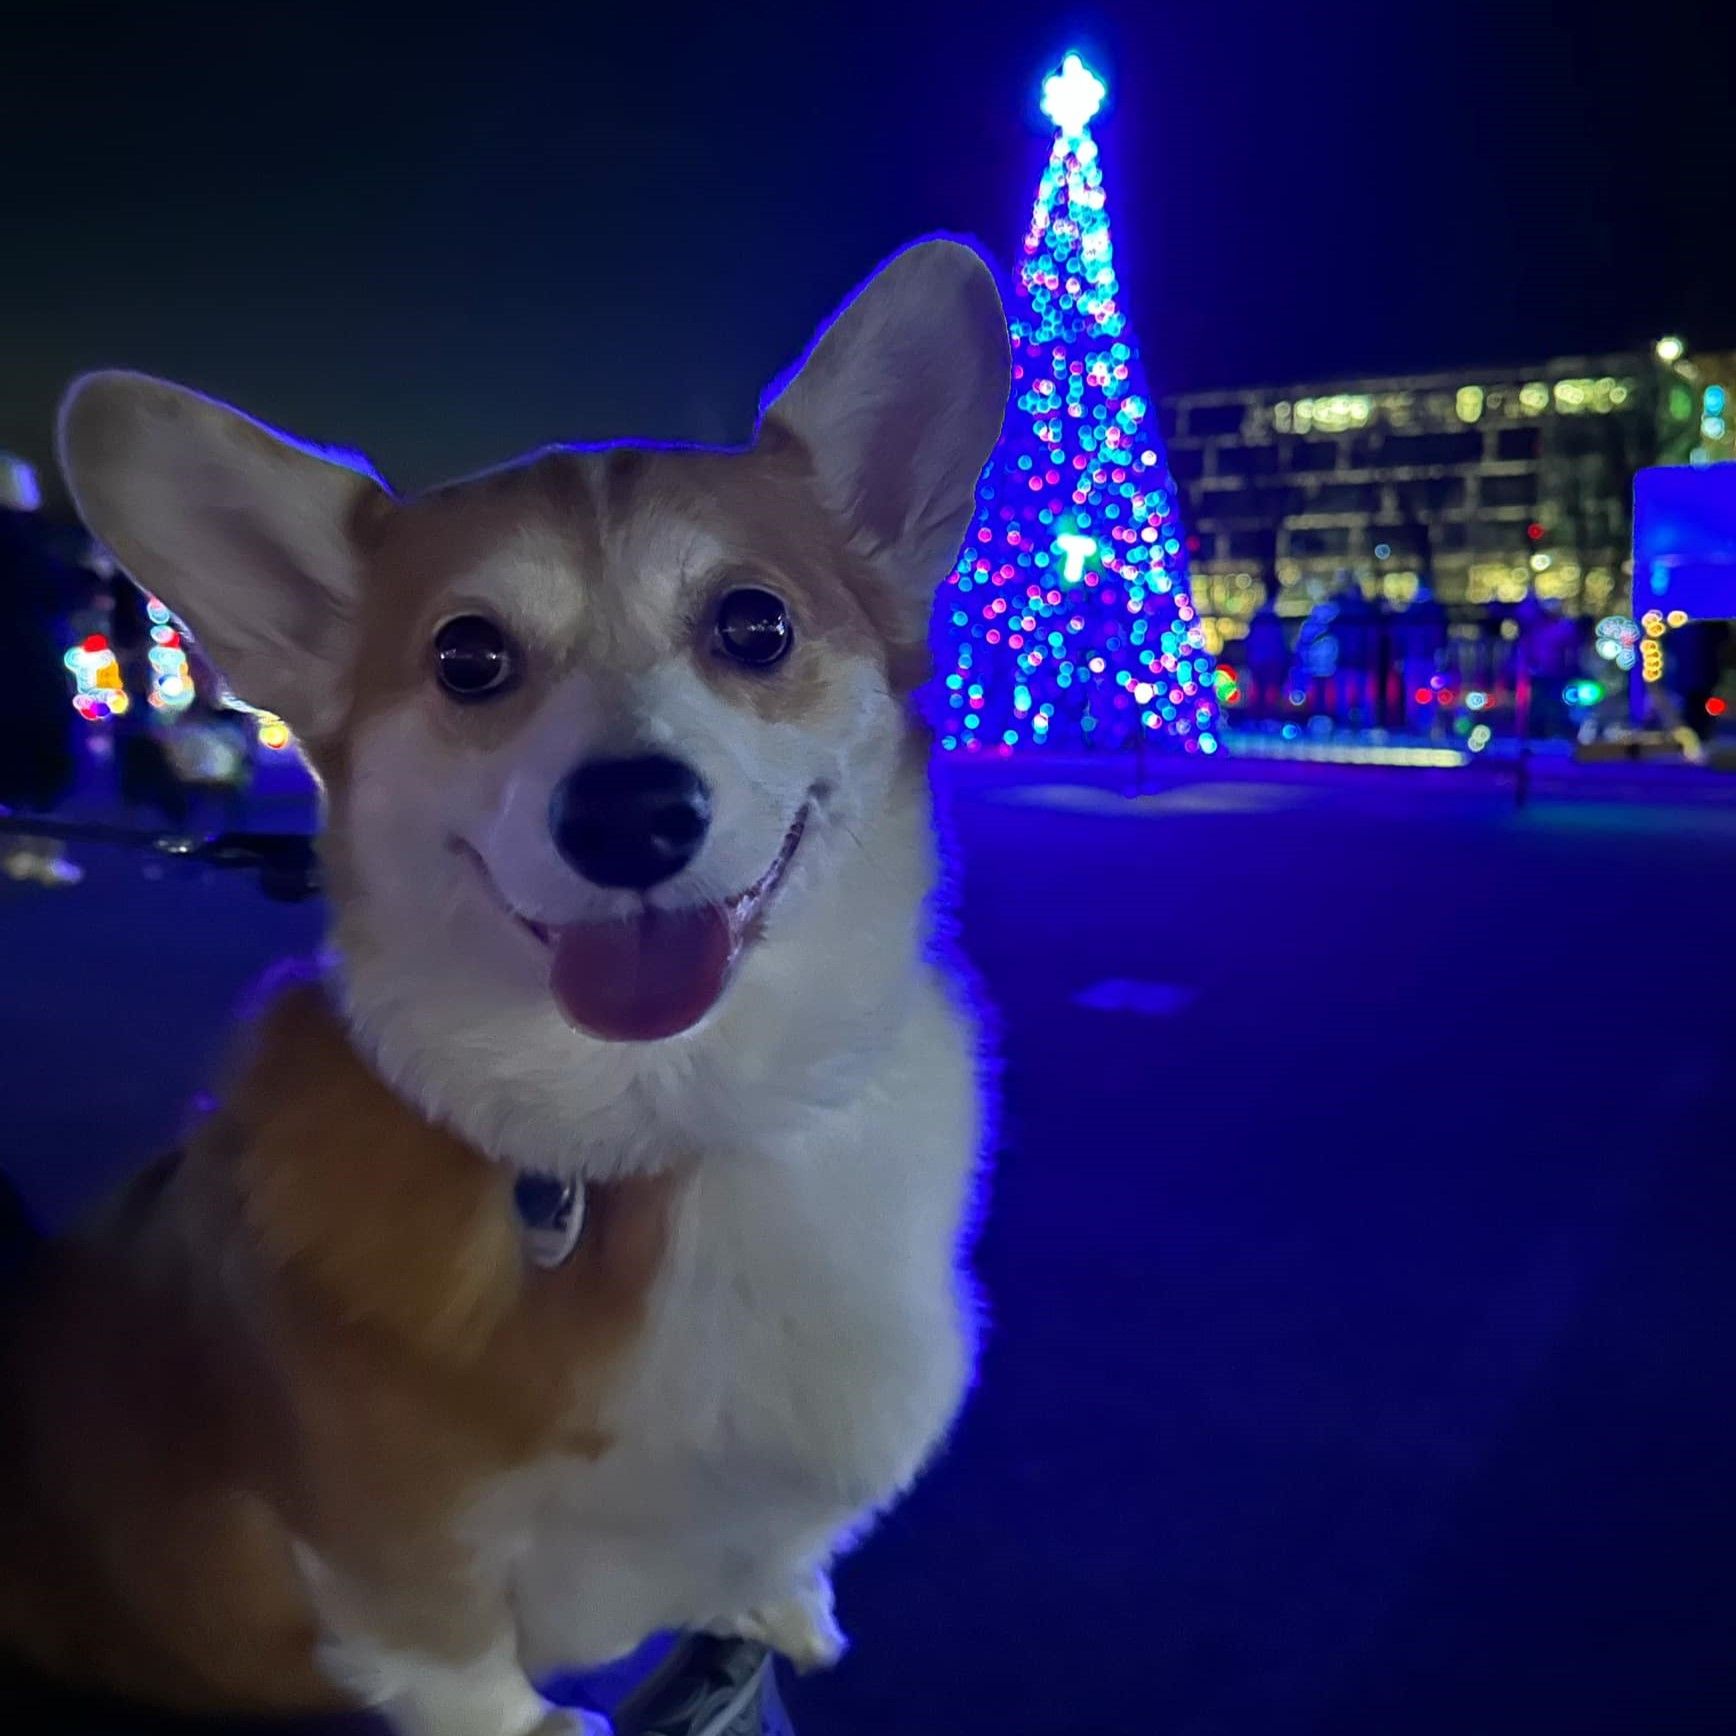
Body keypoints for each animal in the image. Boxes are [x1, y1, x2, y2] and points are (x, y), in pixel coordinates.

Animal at [0, 244, 1013, 1736]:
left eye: (754, 622)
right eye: (467, 655)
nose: (631, 814)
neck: (665, 1126)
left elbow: (764, 1549)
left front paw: (779, 1605)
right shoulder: (382, 1554)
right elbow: (459, 1662)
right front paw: (545, 1719)